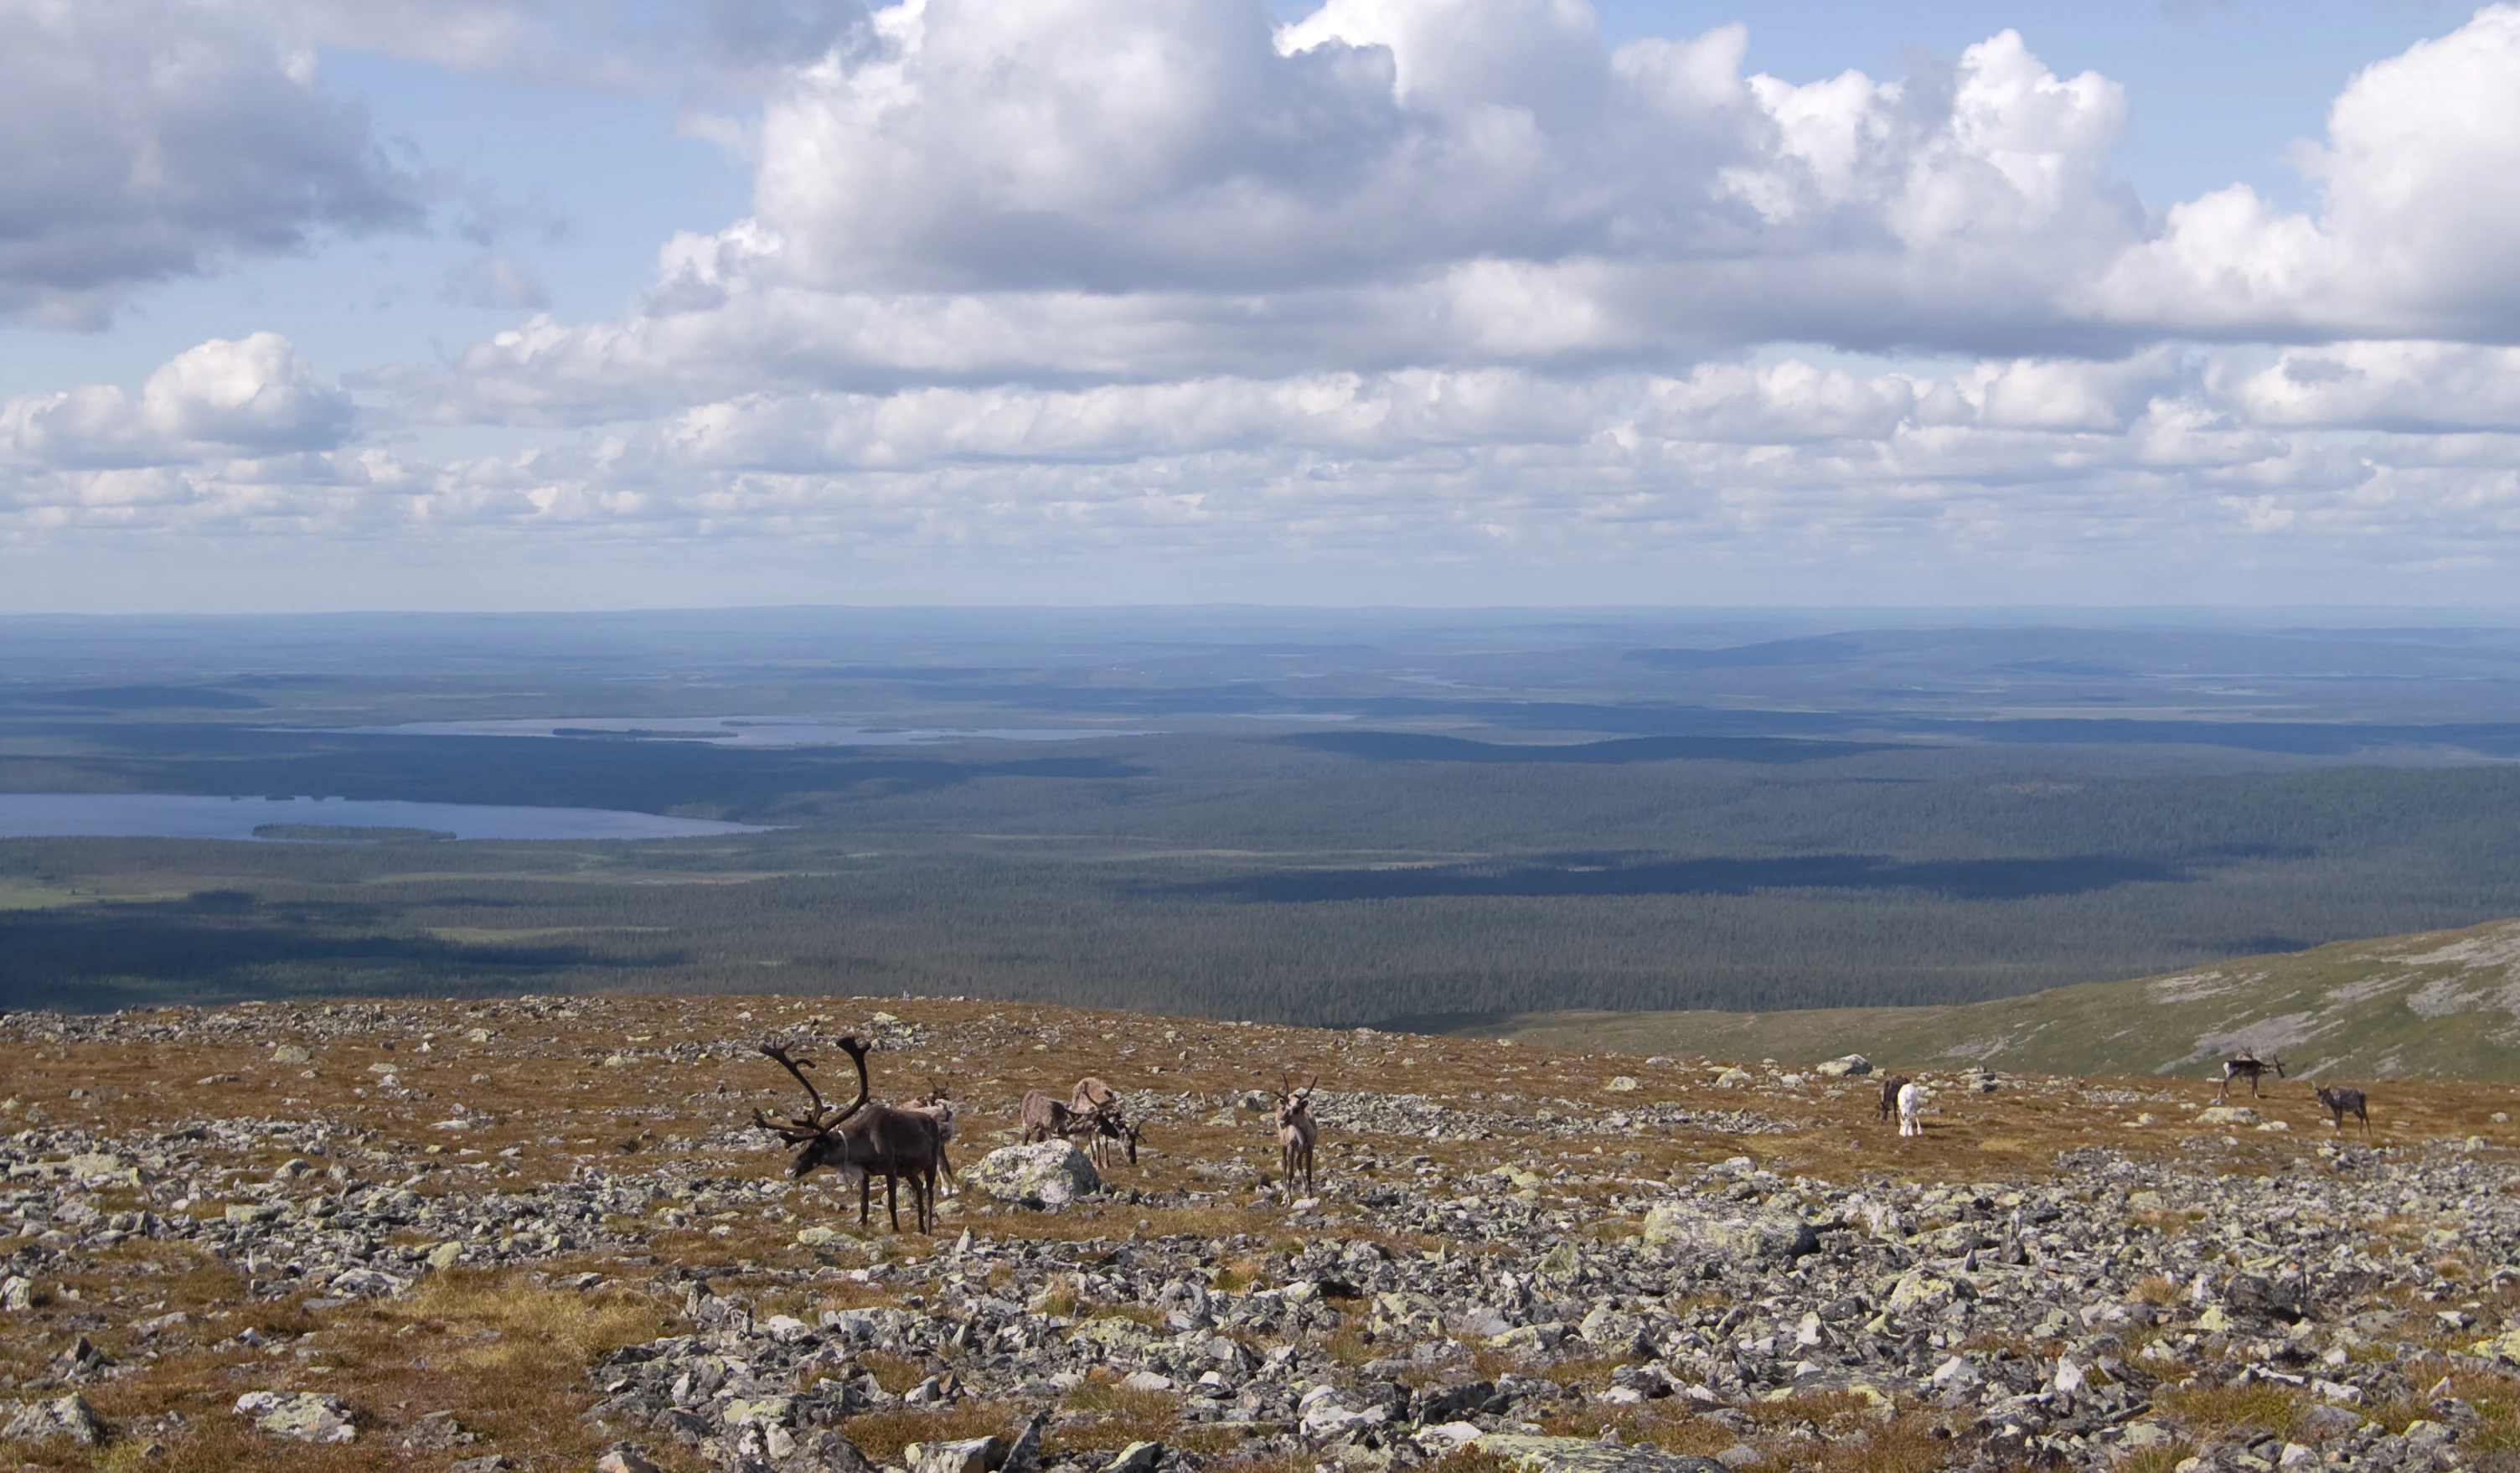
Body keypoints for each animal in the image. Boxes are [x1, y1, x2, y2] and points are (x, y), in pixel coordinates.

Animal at [751, 1038, 942, 1234]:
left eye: (817, 1146)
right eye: (802, 1145)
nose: (790, 1171)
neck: (866, 1142)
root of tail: (932, 1122)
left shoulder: (891, 1169)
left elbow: (892, 1204)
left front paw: (896, 1230)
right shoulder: (865, 1173)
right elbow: (864, 1205)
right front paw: (863, 1226)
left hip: (932, 1162)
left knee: (930, 1194)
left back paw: (927, 1230)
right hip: (909, 1171)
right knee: (919, 1186)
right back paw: (920, 1227)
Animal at [1273, 1074, 1319, 1196]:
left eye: (1296, 1110)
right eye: (1286, 1108)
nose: (1282, 1123)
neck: (1302, 1135)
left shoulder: (1309, 1148)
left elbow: (1309, 1173)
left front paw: (1310, 1194)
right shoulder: (1291, 1146)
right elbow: (1290, 1173)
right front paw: (1289, 1197)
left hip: (1300, 1149)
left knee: (1298, 1162)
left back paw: (1304, 1189)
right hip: (1283, 1144)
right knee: (1284, 1163)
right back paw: (1285, 1190)